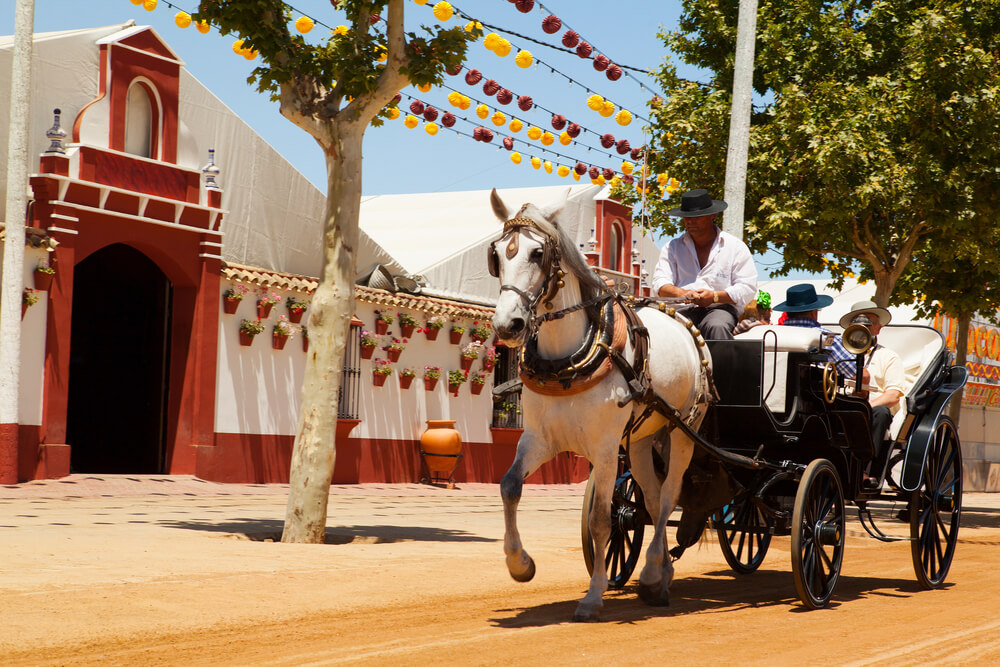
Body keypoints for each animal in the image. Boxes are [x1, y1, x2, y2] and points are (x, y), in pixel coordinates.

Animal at [490, 188, 712, 620]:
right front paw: (519, 564)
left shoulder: (606, 450)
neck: (567, 360)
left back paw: (652, 574)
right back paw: (662, 572)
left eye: (538, 253)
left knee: (668, 497)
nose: (508, 325)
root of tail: (682, 321)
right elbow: (509, 486)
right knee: (653, 497)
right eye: (496, 255)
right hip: (640, 441)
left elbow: (600, 520)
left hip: (684, 431)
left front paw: (593, 597)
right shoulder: (539, 439)